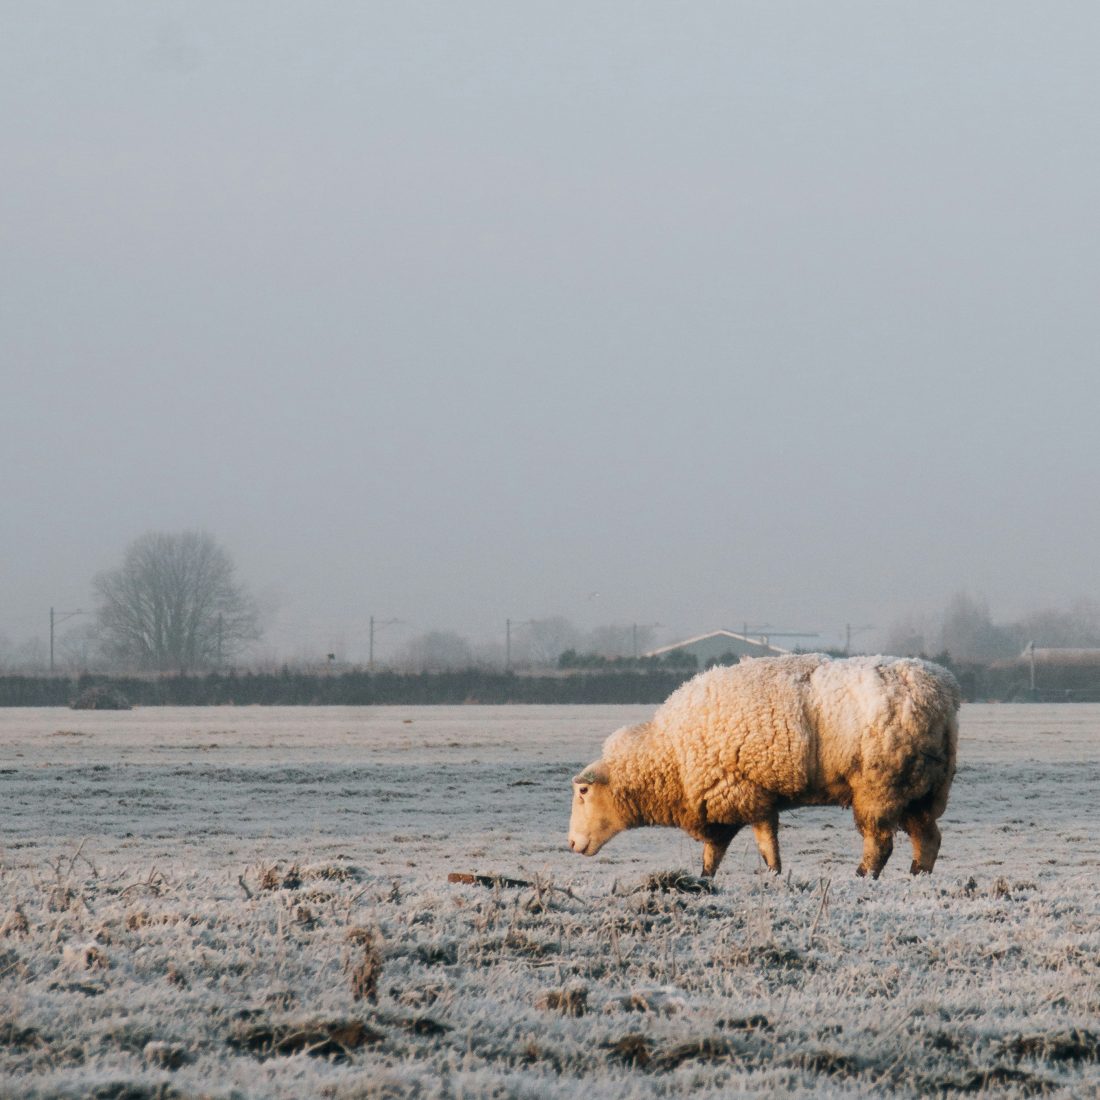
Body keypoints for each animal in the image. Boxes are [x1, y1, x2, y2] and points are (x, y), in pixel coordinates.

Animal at [572, 655, 959, 880]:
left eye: (583, 791)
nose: (572, 844)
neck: (672, 756)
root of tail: (943, 690)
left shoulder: (741, 792)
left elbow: (761, 844)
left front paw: (771, 875)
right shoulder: (731, 800)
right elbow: (717, 852)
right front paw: (705, 880)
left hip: (881, 786)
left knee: (880, 842)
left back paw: (862, 876)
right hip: (920, 789)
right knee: (929, 838)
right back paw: (918, 876)